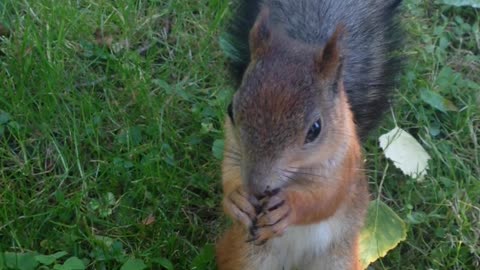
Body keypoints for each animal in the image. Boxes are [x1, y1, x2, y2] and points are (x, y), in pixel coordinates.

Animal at [217, 1, 402, 268]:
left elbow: (324, 200)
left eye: (315, 129)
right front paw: (236, 199)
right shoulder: (233, 148)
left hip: (339, 260)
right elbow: (229, 175)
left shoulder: (343, 165)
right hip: (248, 256)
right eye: (230, 109)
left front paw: (290, 207)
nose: (256, 186)